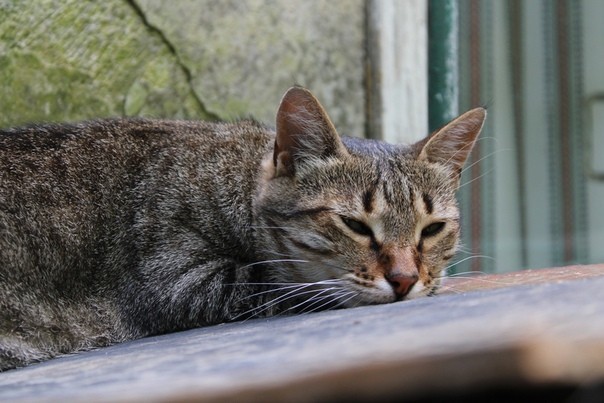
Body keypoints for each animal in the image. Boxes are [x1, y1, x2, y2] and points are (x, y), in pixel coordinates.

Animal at [0, 87, 484, 370]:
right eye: (354, 225)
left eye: (432, 229)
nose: (404, 278)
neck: (238, 178)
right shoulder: (174, 278)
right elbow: (284, 286)